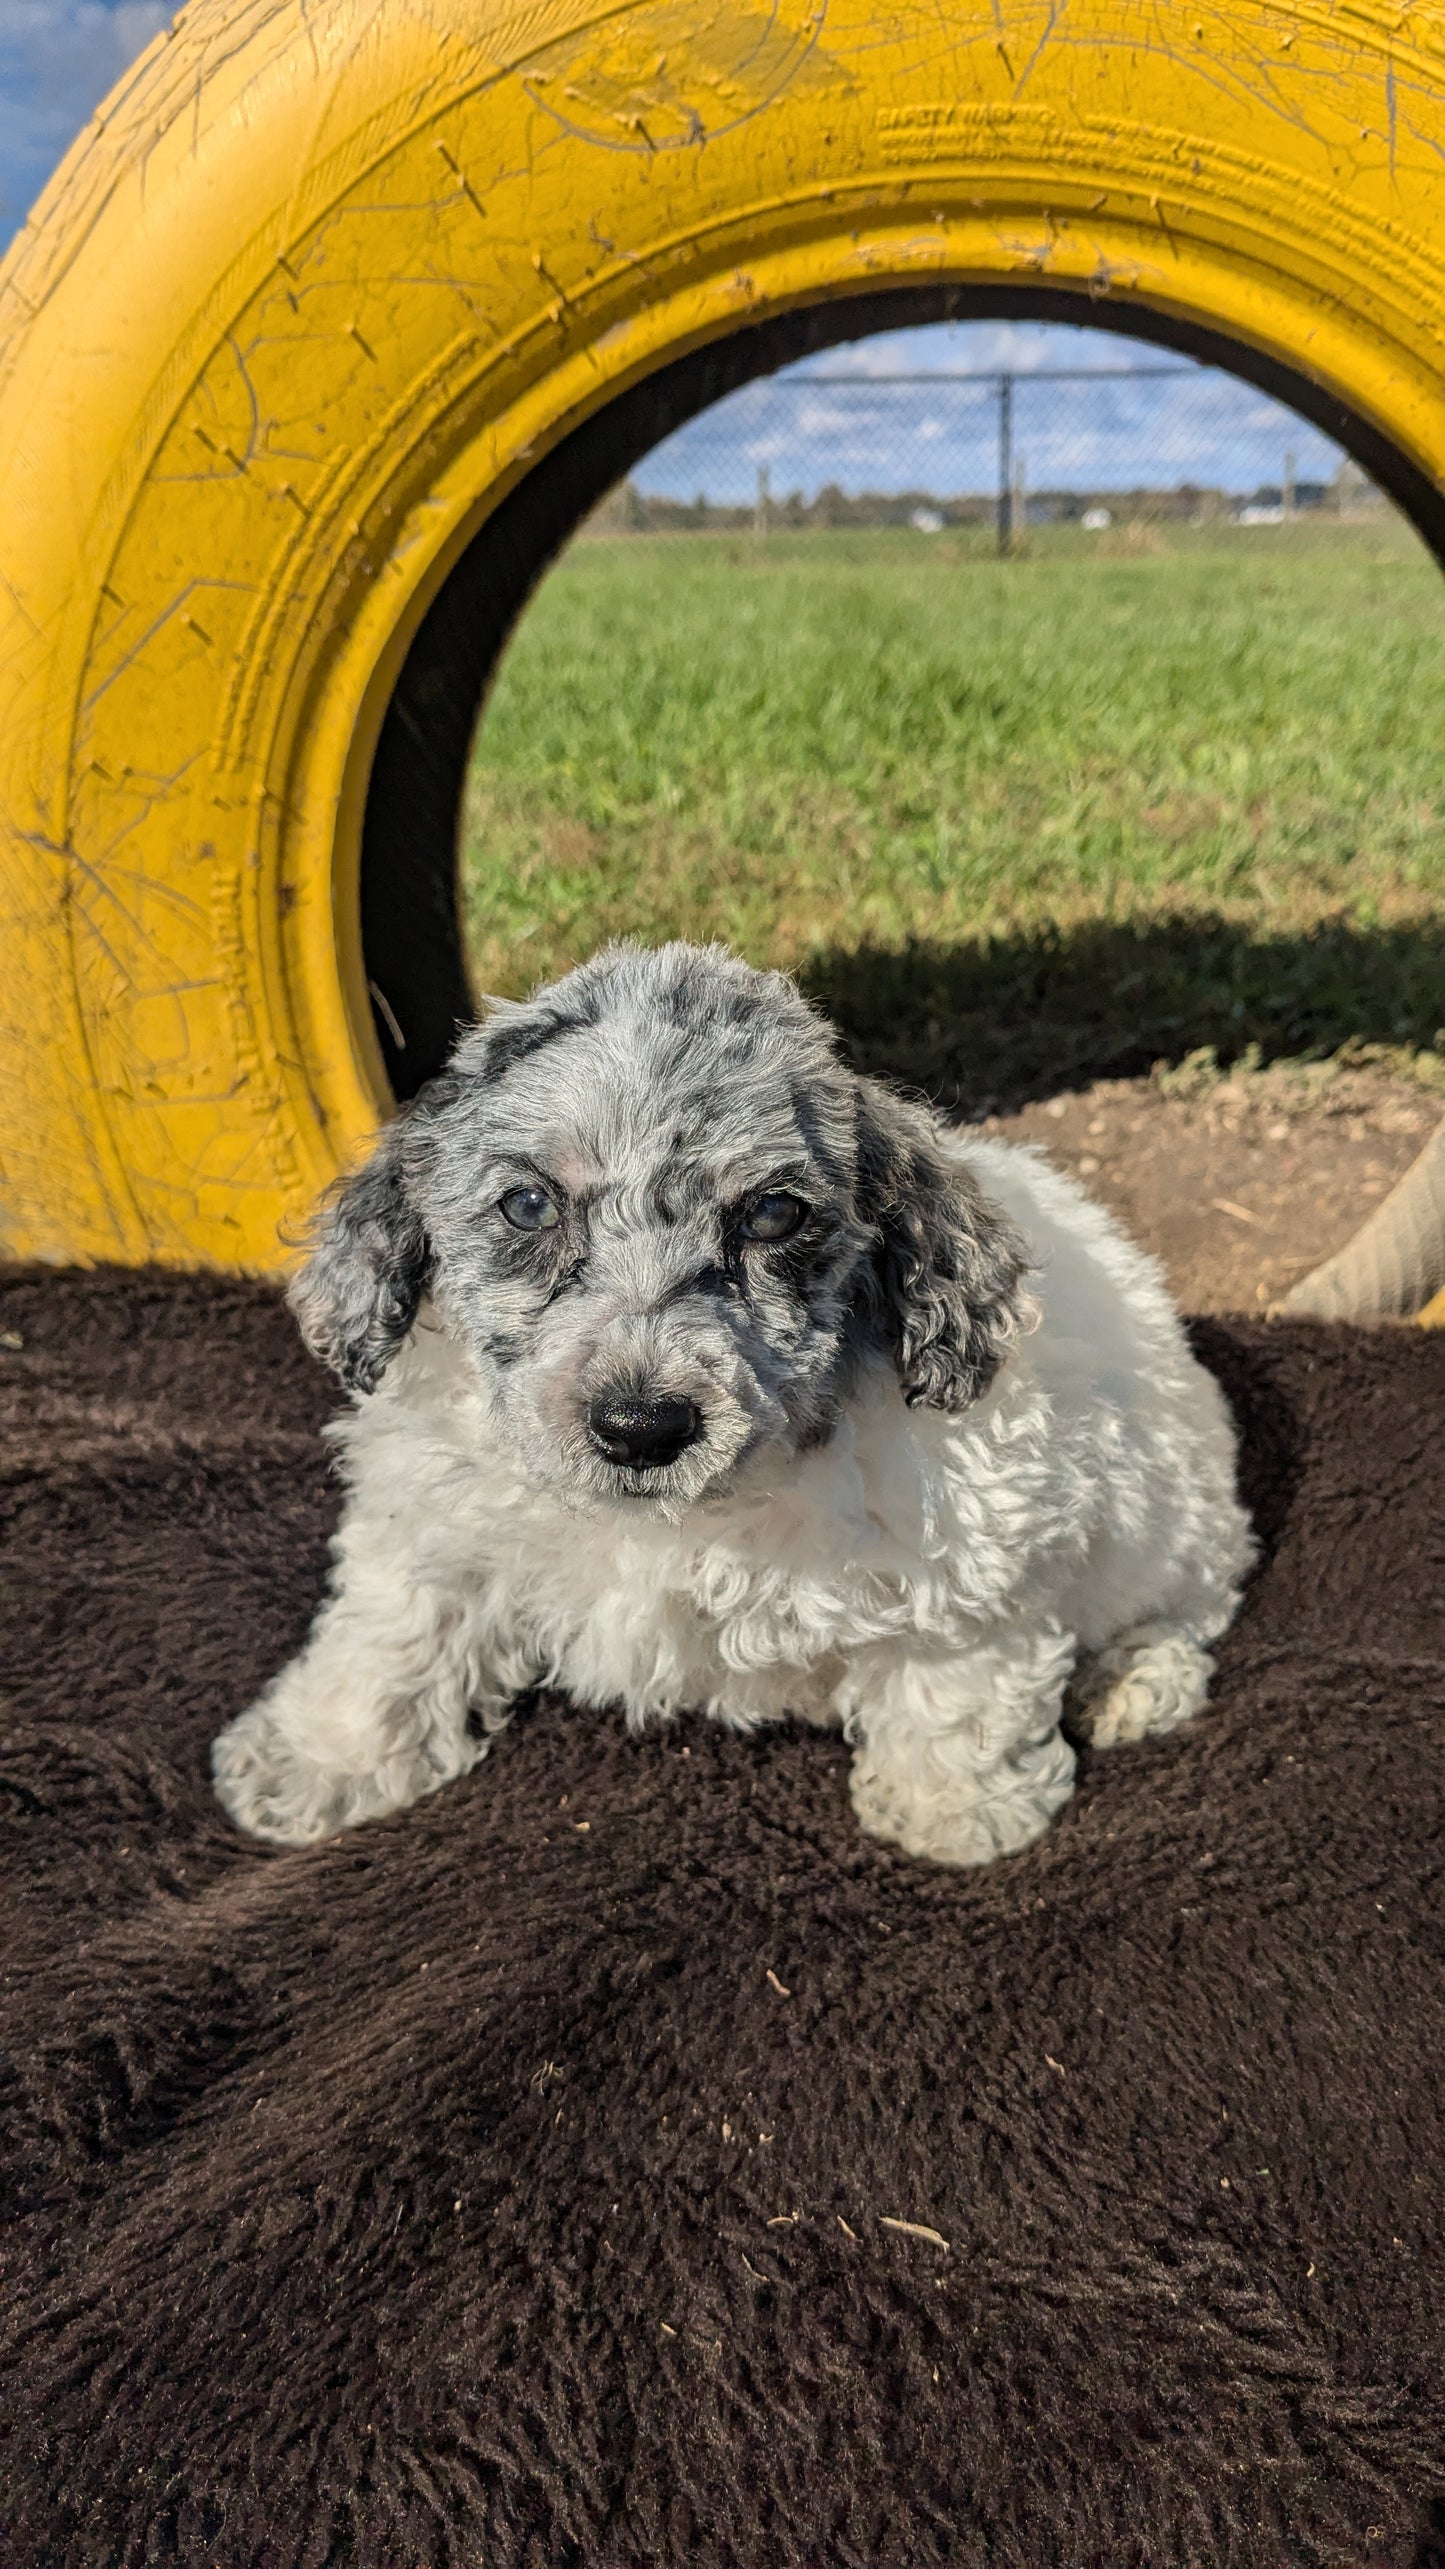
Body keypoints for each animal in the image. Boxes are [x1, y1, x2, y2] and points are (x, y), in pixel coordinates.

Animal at [213, 945, 1249, 1870]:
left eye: (772, 1214)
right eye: (528, 1206)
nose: (641, 1427)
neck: (667, 1520)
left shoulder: (972, 1557)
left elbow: (952, 1685)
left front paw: (954, 1813)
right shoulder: (432, 1511)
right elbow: (392, 1633)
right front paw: (317, 1760)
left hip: (1180, 1531)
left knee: (1186, 1608)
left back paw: (1129, 1682)